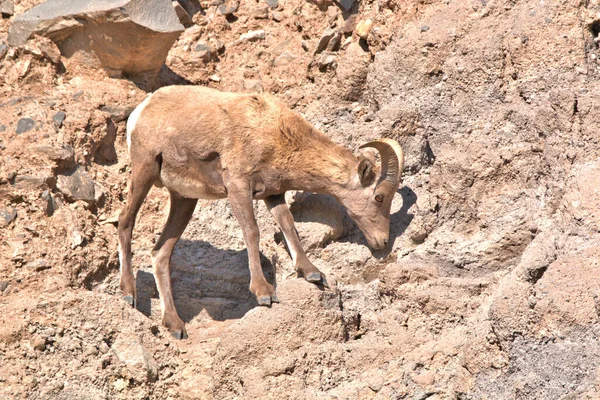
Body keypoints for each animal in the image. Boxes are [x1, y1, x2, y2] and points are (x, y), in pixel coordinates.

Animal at [118, 86, 404, 340]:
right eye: (379, 197)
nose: (382, 241)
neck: (277, 134)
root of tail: (141, 110)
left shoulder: (272, 194)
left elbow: (288, 224)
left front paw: (312, 272)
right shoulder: (238, 186)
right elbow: (252, 232)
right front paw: (264, 293)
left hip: (184, 199)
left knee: (160, 253)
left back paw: (175, 326)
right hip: (145, 170)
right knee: (124, 222)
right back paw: (128, 294)